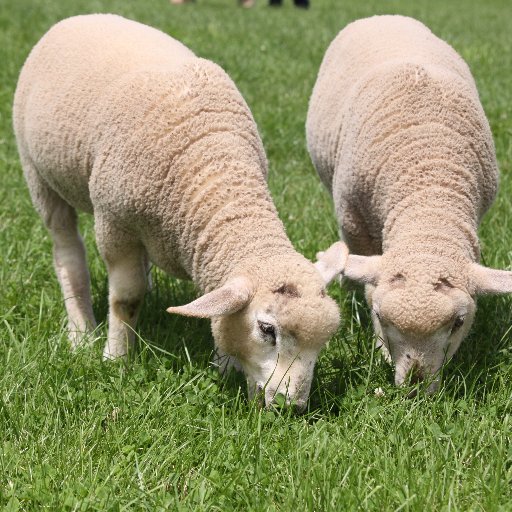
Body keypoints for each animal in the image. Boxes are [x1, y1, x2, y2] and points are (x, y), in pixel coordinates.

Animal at [14, 14, 340, 410]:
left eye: (323, 341)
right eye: (267, 329)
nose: (290, 407)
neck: (215, 171)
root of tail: (84, 17)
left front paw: (225, 364)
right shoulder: (114, 223)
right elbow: (125, 299)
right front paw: (116, 358)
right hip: (38, 174)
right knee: (66, 250)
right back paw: (81, 332)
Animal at [308, 15, 512, 392]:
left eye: (459, 322)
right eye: (379, 316)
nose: (416, 386)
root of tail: (382, 17)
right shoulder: (354, 218)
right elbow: (367, 284)